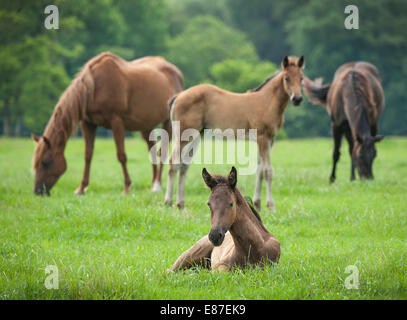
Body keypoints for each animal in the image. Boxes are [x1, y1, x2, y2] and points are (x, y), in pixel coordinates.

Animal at [32, 52, 185, 195]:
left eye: (46, 162)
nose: (38, 191)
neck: (94, 87)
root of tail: (176, 72)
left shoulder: (116, 122)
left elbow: (121, 155)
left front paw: (127, 187)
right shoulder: (87, 124)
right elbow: (88, 155)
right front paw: (81, 188)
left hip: (168, 123)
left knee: (162, 151)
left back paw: (157, 185)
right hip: (146, 125)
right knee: (152, 149)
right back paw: (153, 184)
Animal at [164, 56, 304, 211]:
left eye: (301, 78)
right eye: (287, 78)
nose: (297, 99)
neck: (267, 102)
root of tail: (178, 97)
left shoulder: (268, 141)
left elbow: (260, 170)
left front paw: (257, 205)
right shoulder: (263, 138)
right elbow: (268, 171)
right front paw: (271, 207)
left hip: (196, 135)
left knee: (183, 165)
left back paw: (181, 204)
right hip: (184, 136)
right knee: (173, 162)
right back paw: (168, 202)